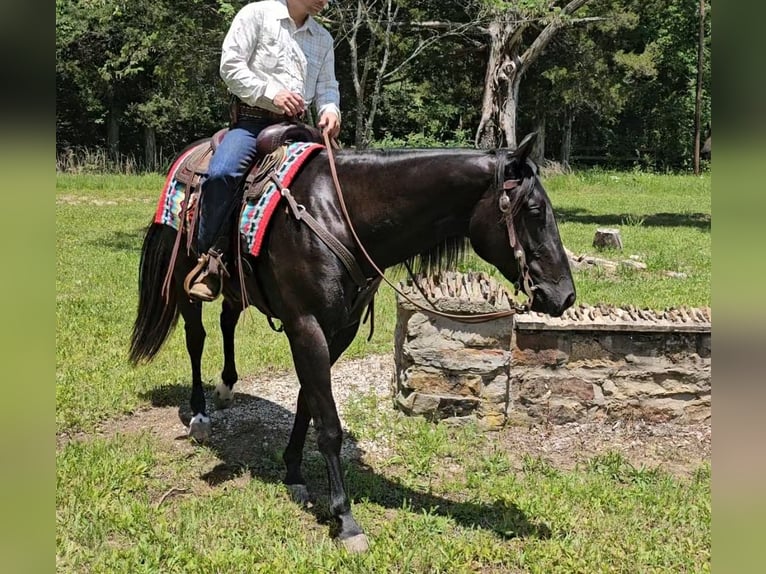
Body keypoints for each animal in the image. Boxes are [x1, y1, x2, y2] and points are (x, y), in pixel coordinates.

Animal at [130, 134, 576, 552]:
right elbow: (328, 422)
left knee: (227, 321)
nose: (565, 296)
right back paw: (200, 416)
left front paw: (293, 472)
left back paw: (225, 388)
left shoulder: (338, 330)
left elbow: (307, 401)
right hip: (184, 281)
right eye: (534, 212)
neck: (341, 216)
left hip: (237, 289)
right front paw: (344, 518)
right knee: (196, 338)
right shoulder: (306, 326)